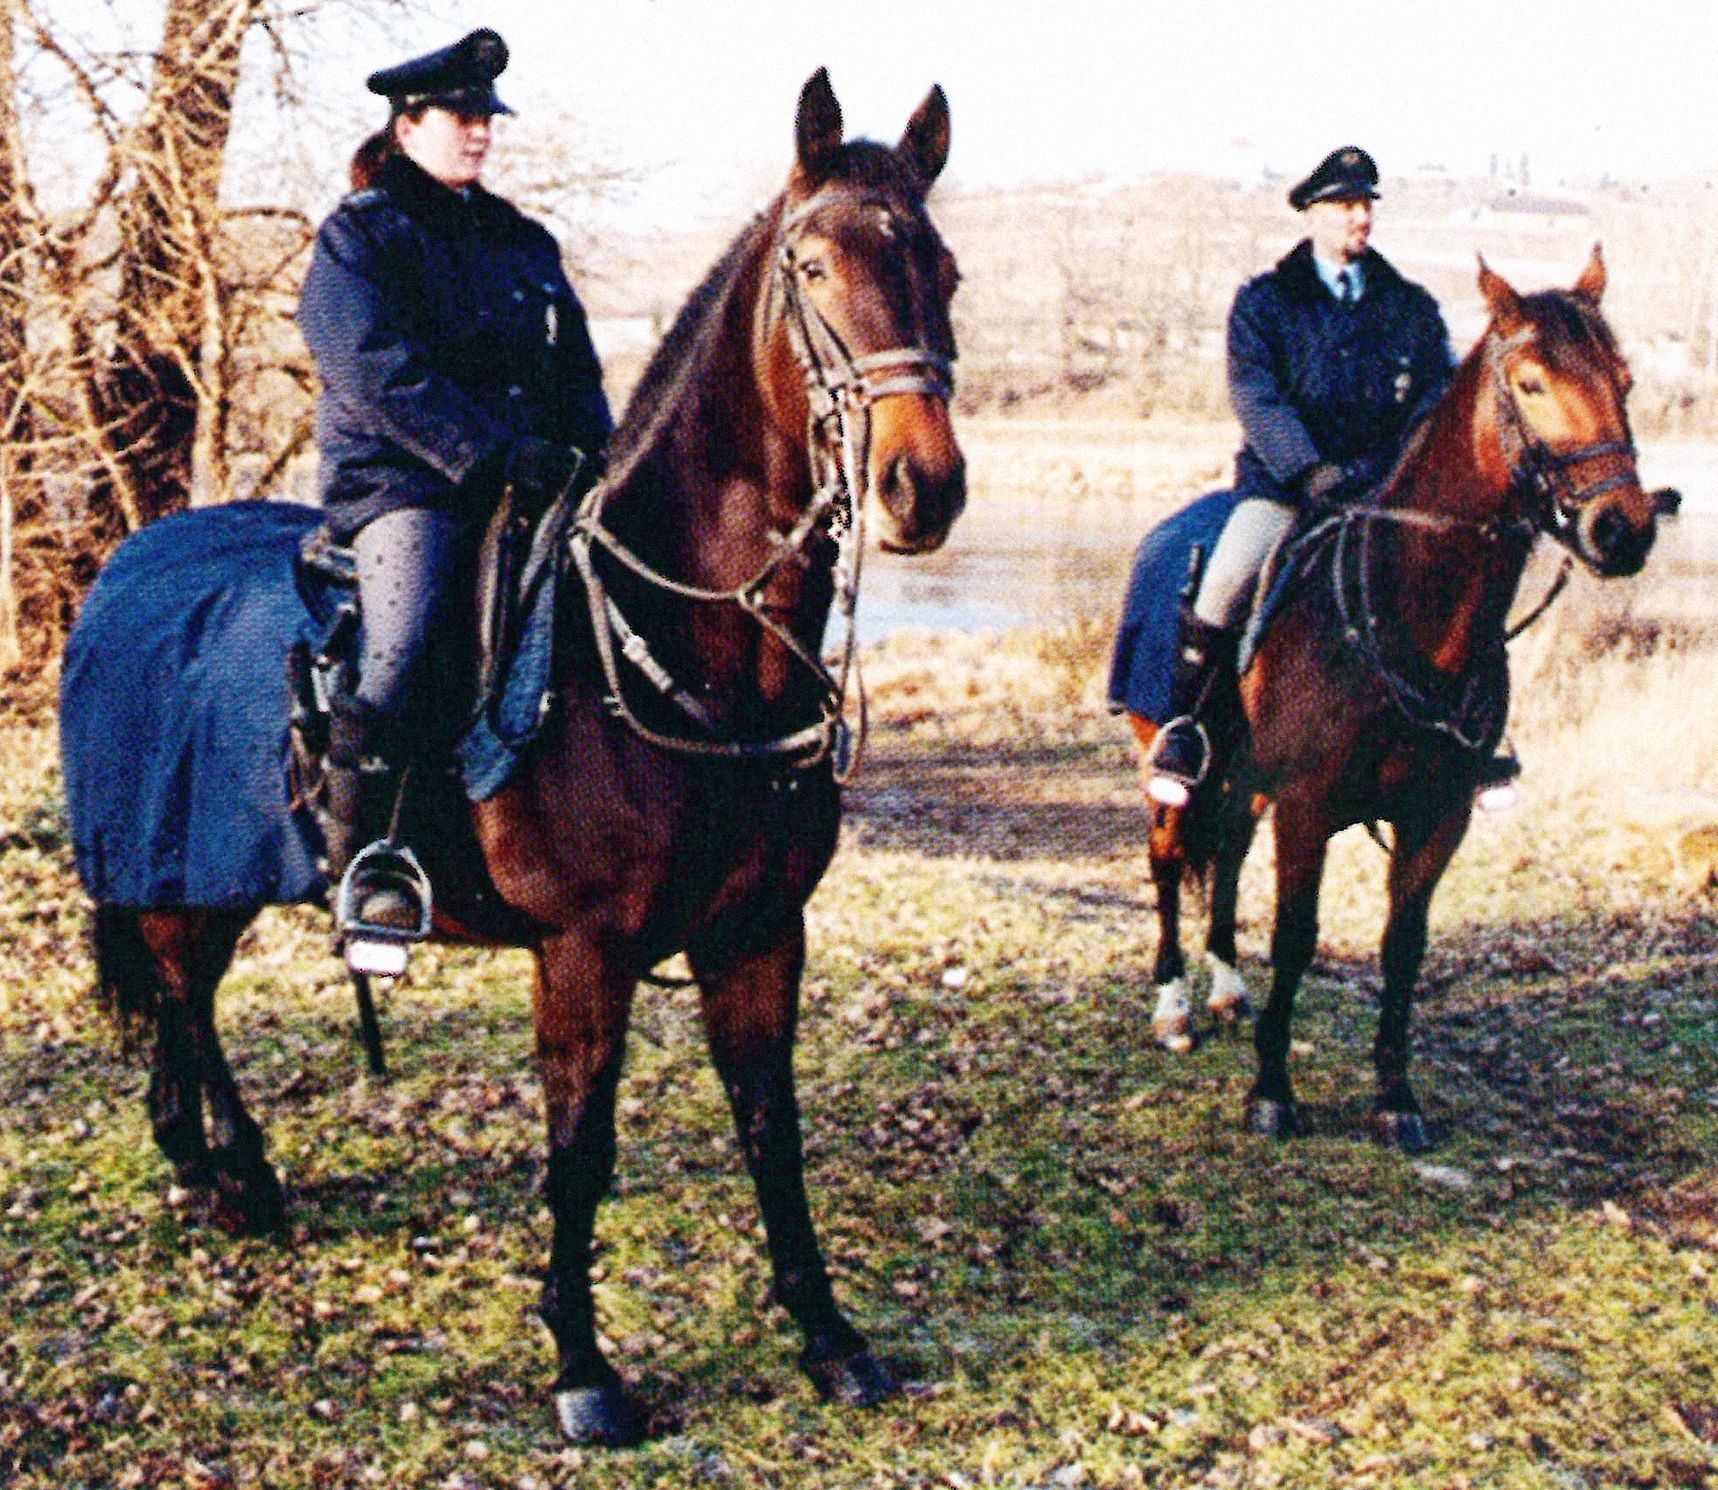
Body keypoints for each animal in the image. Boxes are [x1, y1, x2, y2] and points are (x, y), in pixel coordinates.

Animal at [73, 70, 962, 1443]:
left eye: (944, 270)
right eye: (813, 265)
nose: (922, 486)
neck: (671, 640)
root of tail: (128, 566)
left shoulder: (760, 936)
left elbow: (772, 1129)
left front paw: (827, 1334)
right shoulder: (582, 952)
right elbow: (578, 1150)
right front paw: (584, 1368)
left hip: (209, 875)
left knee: (188, 1000)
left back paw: (207, 1164)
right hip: (177, 870)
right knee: (179, 992)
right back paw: (235, 1170)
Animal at [1133, 250, 1656, 1148]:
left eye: (1622, 380)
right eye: (1530, 383)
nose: (1623, 530)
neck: (1405, 612)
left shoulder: (1435, 816)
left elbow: (1403, 948)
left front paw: (1396, 1097)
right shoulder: (1308, 809)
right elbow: (1297, 938)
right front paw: (1272, 1093)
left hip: (1247, 784)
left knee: (1227, 852)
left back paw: (1228, 990)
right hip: (1170, 763)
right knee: (1169, 858)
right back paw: (1174, 1008)